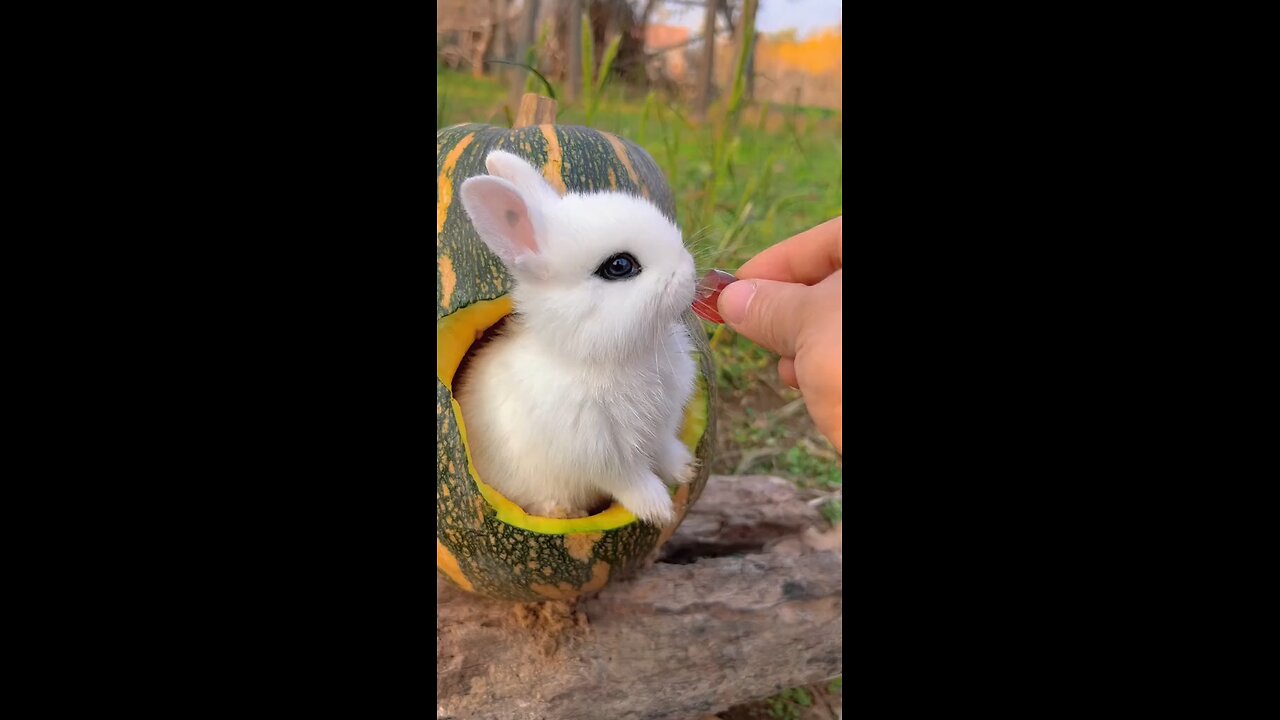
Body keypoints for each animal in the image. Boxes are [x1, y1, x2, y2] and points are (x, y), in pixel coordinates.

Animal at [455, 148, 701, 525]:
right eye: (619, 266)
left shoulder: (660, 429)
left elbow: (665, 449)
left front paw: (687, 468)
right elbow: (631, 480)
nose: (689, 271)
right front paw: (659, 509)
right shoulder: (600, 454)